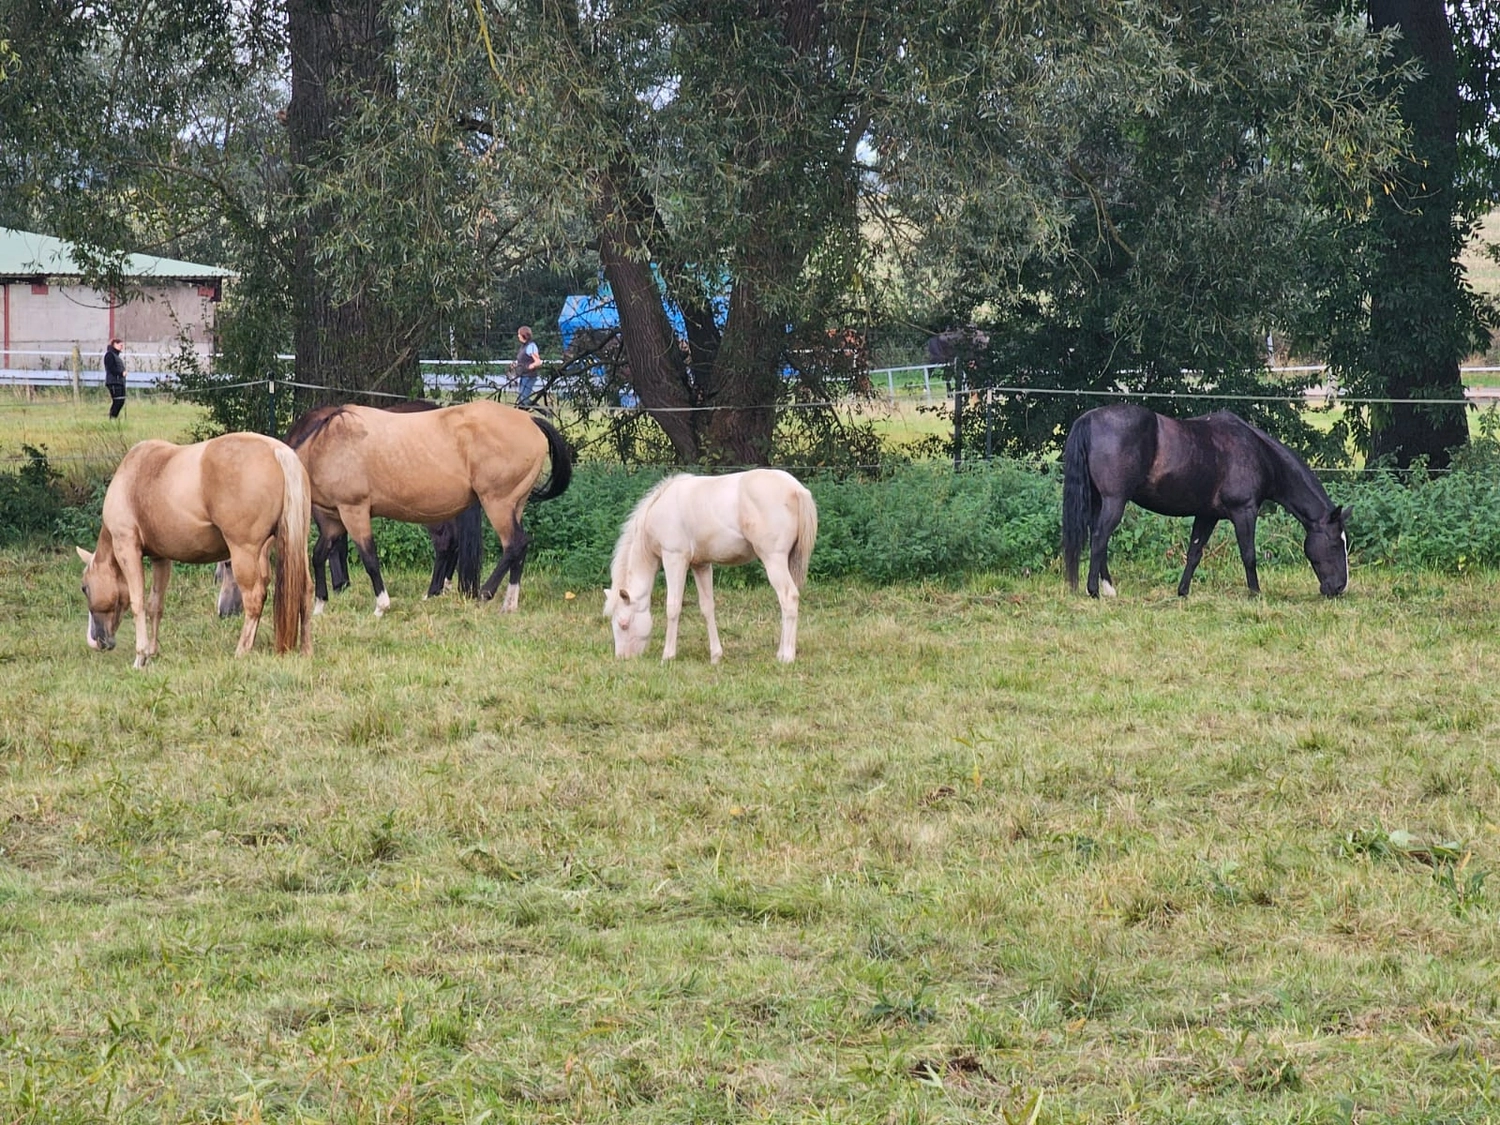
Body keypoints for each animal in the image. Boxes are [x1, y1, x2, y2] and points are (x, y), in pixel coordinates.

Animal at [77, 433, 314, 667]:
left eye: (85, 588)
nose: (99, 641)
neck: (130, 478)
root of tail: (278, 452)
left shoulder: (128, 549)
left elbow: (138, 604)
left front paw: (140, 657)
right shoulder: (160, 558)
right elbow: (155, 605)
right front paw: (152, 652)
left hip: (244, 553)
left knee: (254, 598)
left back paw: (241, 652)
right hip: (297, 548)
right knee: (306, 590)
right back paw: (305, 649)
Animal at [285, 399, 572, 615]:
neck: (326, 446)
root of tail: (530, 420)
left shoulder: (353, 512)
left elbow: (369, 558)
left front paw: (381, 605)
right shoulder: (333, 520)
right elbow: (318, 555)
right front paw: (319, 605)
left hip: (497, 504)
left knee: (514, 544)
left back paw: (485, 593)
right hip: (515, 505)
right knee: (519, 548)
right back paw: (508, 604)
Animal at [604, 469, 818, 664]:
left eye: (623, 624)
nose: (622, 657)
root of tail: (797, 490)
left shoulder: (674, 558)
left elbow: (673, 607)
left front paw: (668, 656)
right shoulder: (701, 565)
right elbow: (707, 607)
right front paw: (715, 656)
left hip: (774, 560)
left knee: (788, 598)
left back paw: (787, 657)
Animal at [1062, 403, 1350, 599]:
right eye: (1336, 543)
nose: (1339, 588)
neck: (1258, 453)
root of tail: (1089, 418)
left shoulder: (1207, 515)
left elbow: (1194, 553)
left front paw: (1182, 592)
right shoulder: (1244, 512)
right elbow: (1249, 555)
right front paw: (1256, 593)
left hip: (1099, 501)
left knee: (1098, 539)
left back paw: (1109, 589)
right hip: (1114, 501)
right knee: (1099, 538)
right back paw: (1094, 591)